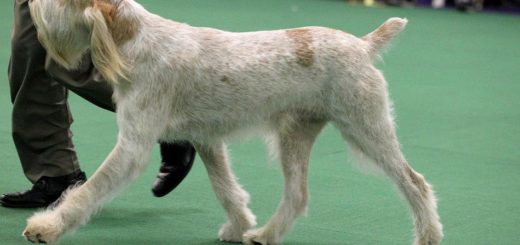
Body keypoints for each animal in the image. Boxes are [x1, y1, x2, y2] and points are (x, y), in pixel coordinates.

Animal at [25, 0, 442, 243]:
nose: (29, 3)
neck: (134, 40)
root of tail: (362, 43)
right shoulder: (207, 140)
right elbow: (226, 189)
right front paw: (239, 224)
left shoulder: (132, 146)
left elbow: (87, 191)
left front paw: (46, 227)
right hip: (295, 136)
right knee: (297, 194)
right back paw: (265, 234)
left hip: (367, 129)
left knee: (415, 183)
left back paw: (428, 236)